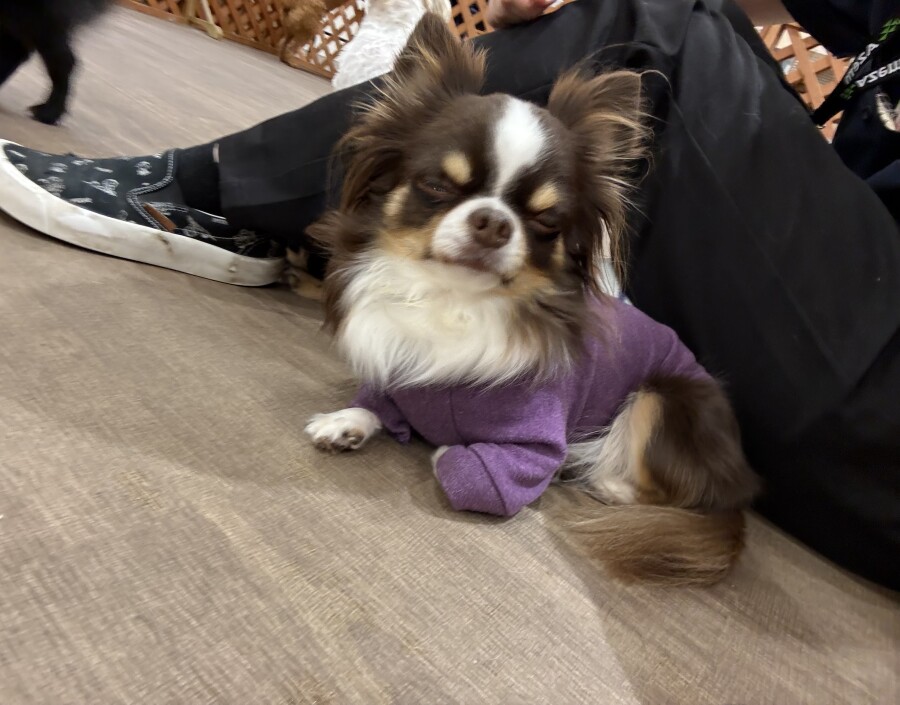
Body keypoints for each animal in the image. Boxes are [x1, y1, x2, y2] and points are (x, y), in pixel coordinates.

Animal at [303, 14, 761, 586]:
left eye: (546, 219)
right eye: (437, 185)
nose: (494, 221)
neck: (454, 302)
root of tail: (737, 484)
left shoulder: (528, 447)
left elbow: (460, 464)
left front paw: (454, 448)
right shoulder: (400, 374)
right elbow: (377, 403)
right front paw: (346, 422)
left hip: (663, 397)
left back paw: (601, 477)